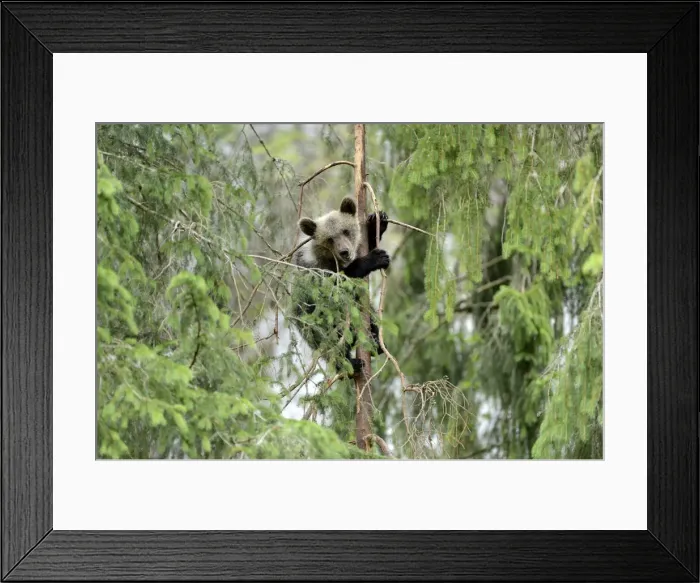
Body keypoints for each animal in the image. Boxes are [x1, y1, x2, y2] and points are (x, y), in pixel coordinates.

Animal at [290, 196, 389, 374]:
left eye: (345, 231)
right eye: (329, 239)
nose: (345, 251)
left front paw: (377, 221)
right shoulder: (315, 273)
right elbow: (338, 281)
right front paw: (376, 258)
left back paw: (376, 341)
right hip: (314, 321)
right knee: (330, 342)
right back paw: (350, 363)